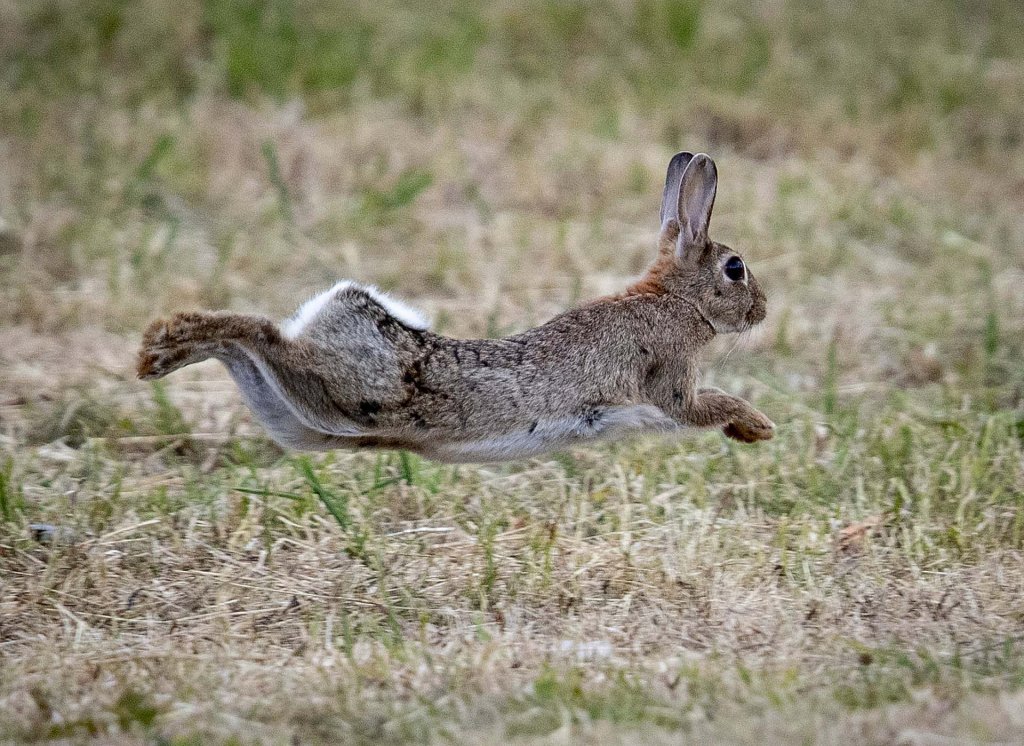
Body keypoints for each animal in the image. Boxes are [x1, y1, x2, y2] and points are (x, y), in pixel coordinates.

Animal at [138, 152, 774, 460]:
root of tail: (340, 308)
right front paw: (758, 425)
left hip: (302, 417)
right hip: (341, 387)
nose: (763, 310)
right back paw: (161, 343)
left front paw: (753, 433)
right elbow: (705, 403)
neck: (674, 299)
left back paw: (162, 349)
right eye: (735, 268)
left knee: (245, 349)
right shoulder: (670, 379)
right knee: (261, 333)